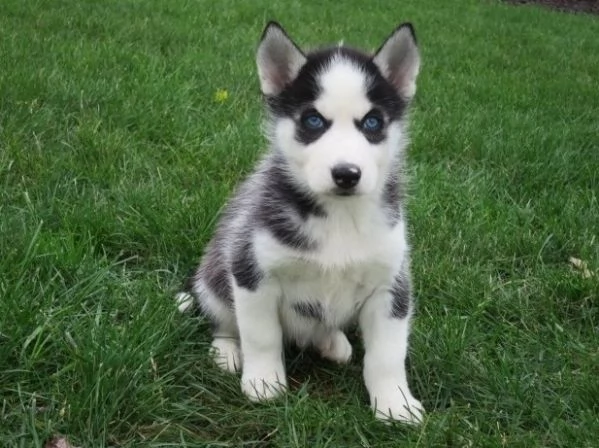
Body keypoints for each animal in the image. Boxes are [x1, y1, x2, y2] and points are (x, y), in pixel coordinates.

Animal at [176, 21, 424, 424]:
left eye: (372, 122)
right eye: (313, 121)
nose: (346, 174)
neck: (339, 218)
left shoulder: (391, 285)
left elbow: (388, 355)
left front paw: (395, 403)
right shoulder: (252, 271)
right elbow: (261, 336)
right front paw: (263, 382)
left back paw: (333, 341)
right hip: (215, 273)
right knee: (223, 318)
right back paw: (227, 351)